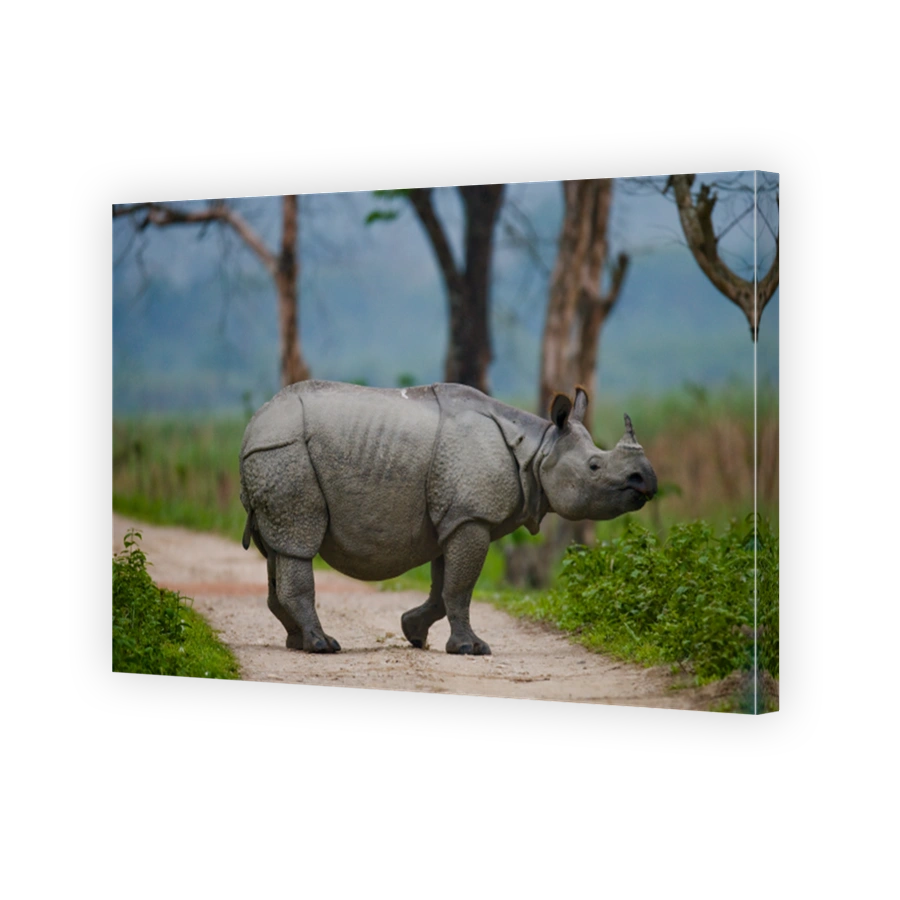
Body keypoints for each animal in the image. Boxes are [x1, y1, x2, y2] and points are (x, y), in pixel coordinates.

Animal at [239, 379, 657, 656]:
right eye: (595, 466)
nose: (647, 480)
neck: (538, 451)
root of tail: (252, 426)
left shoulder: (454, 516)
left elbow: (443, 588)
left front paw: (413, 633)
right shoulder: (472, 517)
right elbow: (460, 587)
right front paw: (472, 649)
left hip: (273, 454)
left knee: (277, 549)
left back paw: (297, 643)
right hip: (285, 452)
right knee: (298, 541)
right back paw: (322, 646)